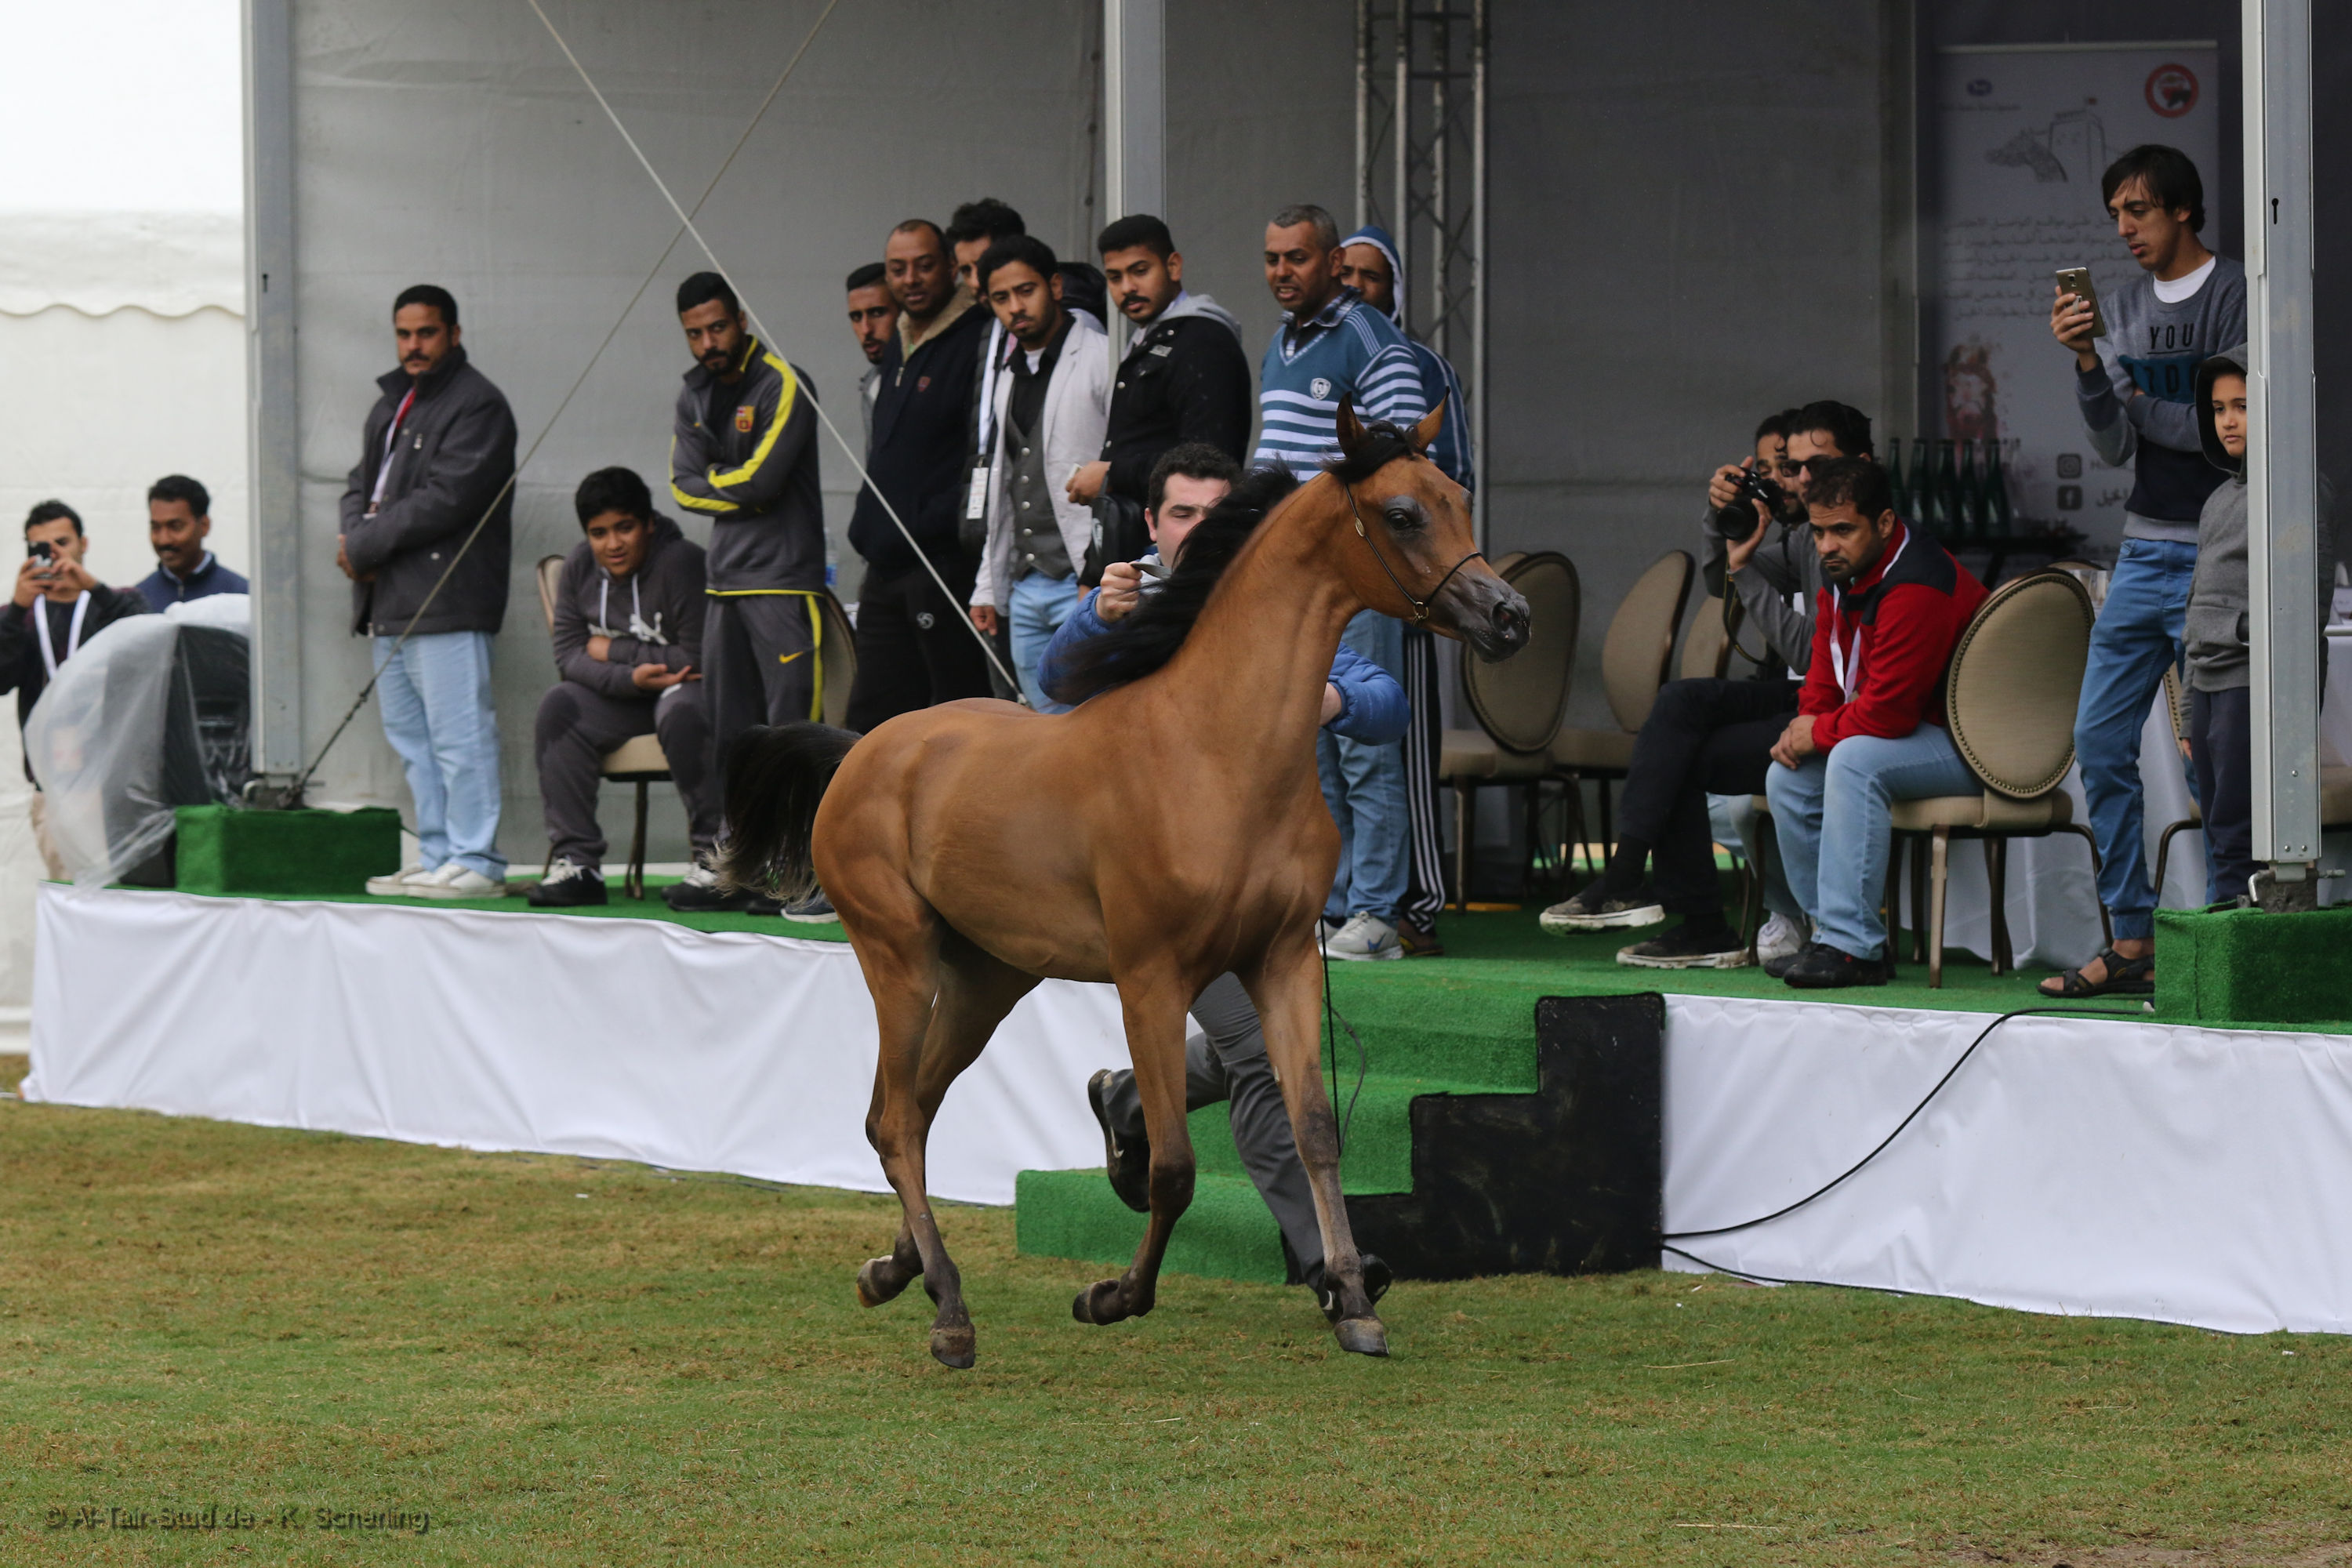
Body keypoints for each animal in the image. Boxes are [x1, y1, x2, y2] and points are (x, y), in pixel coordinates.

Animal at [722, 400, 1529, 1368]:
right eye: (1404, 514)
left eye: (1459, 499)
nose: (1509, 615)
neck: (1218, 752)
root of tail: (862, 749)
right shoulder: (1150, 978)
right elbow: (1176, 1165)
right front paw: (1111, 1295)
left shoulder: (1285, 960)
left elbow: (1314, 1131)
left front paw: (1356, 1303)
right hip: (899, 958)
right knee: (897, 1120)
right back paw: (949, 1310)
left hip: (988, 979)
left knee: (909, 1107)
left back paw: (893, 1270)